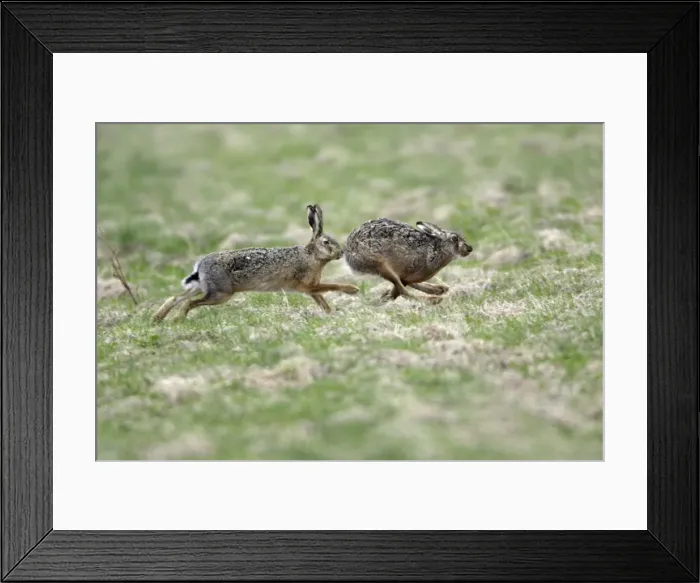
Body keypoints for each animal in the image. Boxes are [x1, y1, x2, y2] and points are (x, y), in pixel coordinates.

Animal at [152, 204, 359, 322]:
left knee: (177, 297)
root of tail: (201, 266)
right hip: (220, 294)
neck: (312, 255)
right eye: (326, 242)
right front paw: (352, 290)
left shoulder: (310, 288)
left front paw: (330, 313)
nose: (341, 252)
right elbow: (331, 286)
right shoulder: (306, 285)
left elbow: (322, 300)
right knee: (189, 302)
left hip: (203, 287)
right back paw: (178, 319)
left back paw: (158, 318)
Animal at [343, 217, 473, 303]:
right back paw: (434, 298)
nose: (469, 248)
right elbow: (400, 288)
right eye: (454, 238)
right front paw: (386, 297)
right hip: (380, 264)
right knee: (404, 290)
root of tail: (348, 249)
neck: (436, 249)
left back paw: (439, 289)